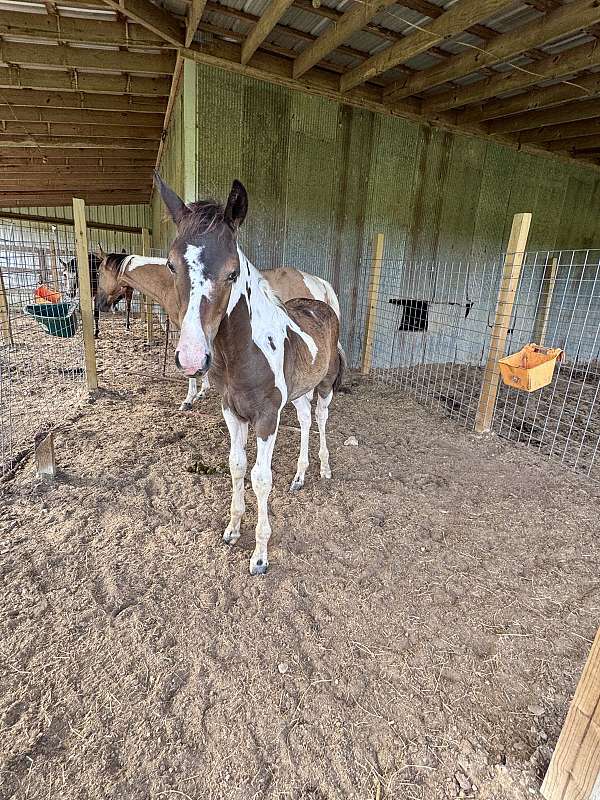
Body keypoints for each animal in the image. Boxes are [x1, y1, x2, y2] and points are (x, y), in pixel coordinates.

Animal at [155, 172, 344, 575]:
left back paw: (323, 469)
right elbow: (237, 465)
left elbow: (260, 478)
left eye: (232, 272)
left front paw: (259, 556)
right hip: (299, 392)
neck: (243, 352)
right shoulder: (232, 411)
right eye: (171, 265)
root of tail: (321, 301)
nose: (192, 357)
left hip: (323, 386)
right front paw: (232, 529)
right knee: (305, 420)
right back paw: (300, 476)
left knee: (321, 419)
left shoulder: (266, 417)